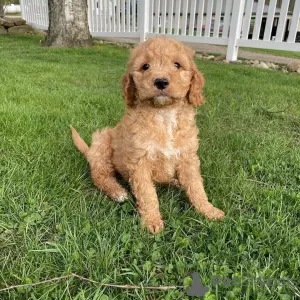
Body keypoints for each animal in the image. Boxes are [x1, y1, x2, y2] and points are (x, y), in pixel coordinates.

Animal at [71, 36, 224, 234]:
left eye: (177, 64)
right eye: (145, 66)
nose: (161, 82)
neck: (164, 114)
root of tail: (89, 150)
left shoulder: (188, 157)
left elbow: (196, 186)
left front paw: (208, 210)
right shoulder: (139, 162)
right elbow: (147, 193)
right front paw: (152, 221)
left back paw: (175, 182)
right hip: (102, 141)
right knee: (100, 175)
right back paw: (117, 192)